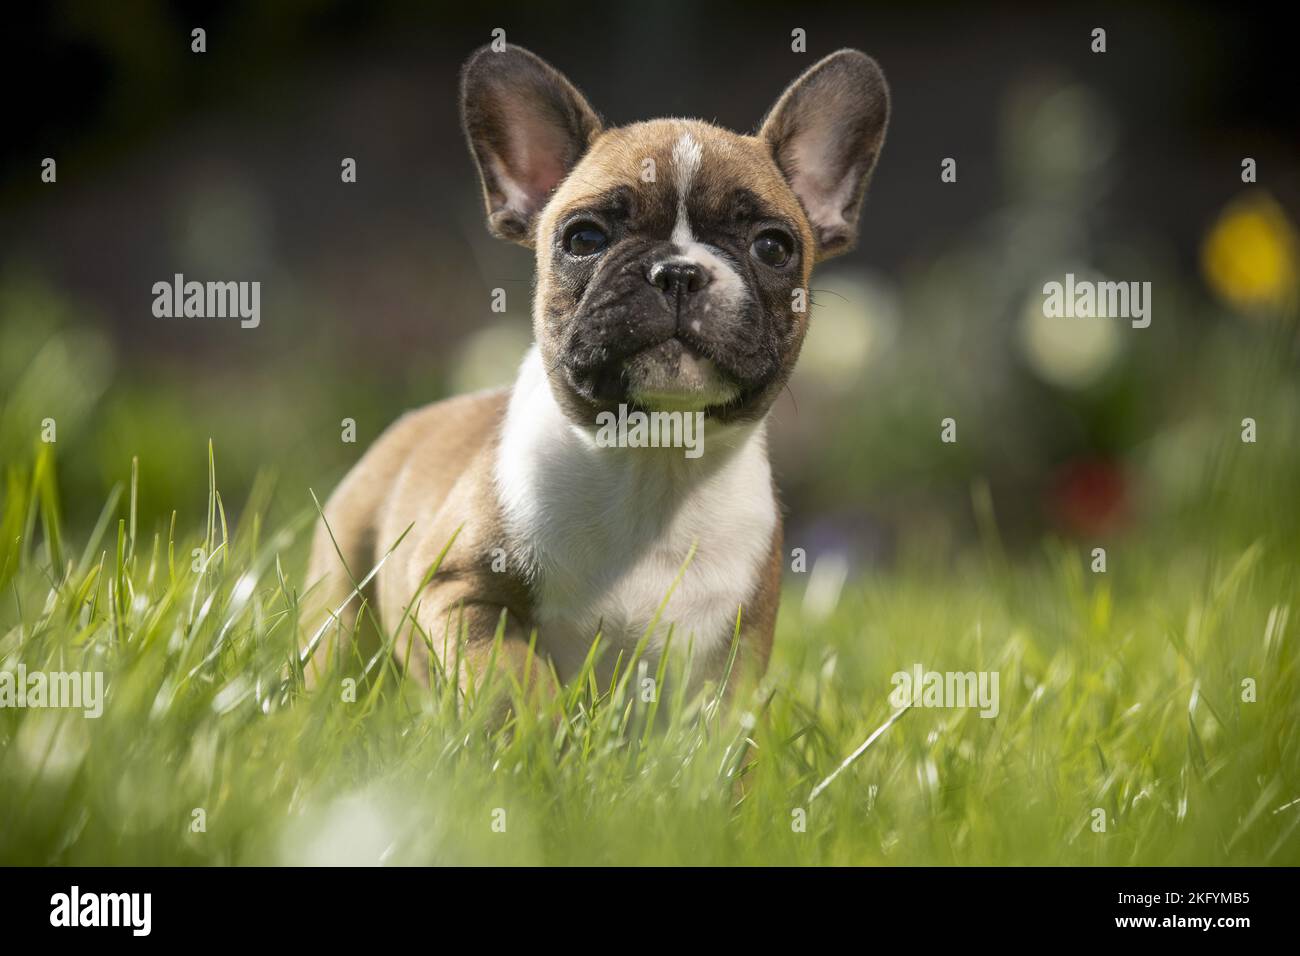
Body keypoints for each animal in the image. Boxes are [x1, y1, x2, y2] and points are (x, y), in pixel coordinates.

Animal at [302, 42, 889, 697]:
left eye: (773, 247)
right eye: (584, 238)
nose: (677, 271)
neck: (653, 463)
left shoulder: (733, 650)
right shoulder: (459, 591)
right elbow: (513, 682)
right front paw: (536, 724)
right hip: (343, 598)